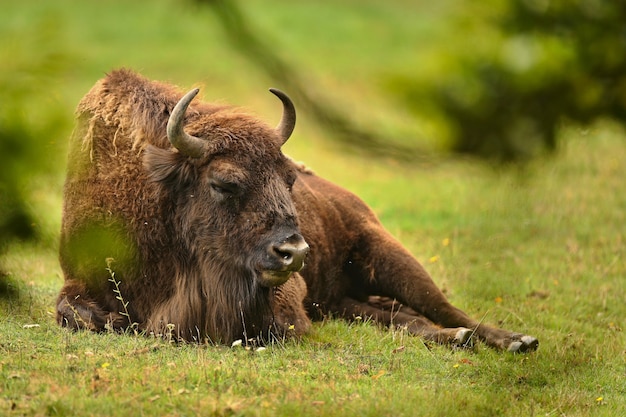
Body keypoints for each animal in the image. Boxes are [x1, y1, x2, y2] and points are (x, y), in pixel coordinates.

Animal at [56, 69, 540, 352]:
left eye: (289, 177)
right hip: (342, 301)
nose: (295, 252)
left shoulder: (285, 300)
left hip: (390, 257)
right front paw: (114, 320)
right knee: (401, 317)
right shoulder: (77, 280)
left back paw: (515, 340)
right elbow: (77, 314)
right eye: (224, 182)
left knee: (445, 309)